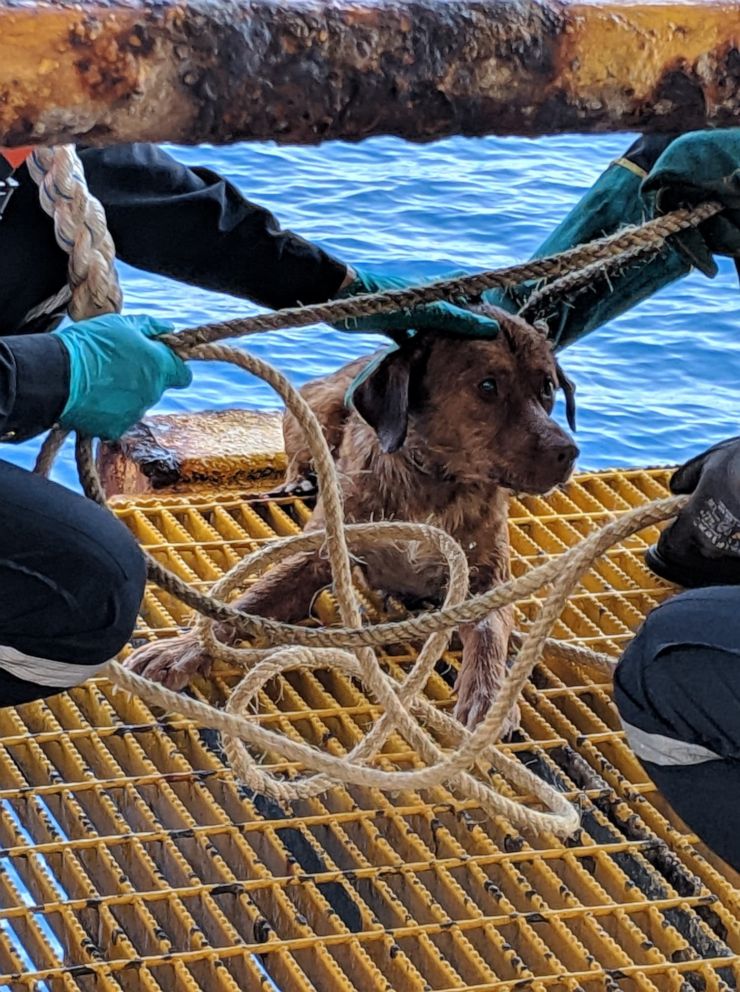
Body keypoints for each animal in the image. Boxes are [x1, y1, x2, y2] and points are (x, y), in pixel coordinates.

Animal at [125, 314, 580, 732]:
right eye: (487, 386)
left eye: (547, 388)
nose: (568, 452)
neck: (432, 483)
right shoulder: (318, 554)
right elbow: (244, 604)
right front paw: (181, 649)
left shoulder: (488, 580)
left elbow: (487, 634)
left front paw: (488, 695)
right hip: (318, 408)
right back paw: (298, 480)